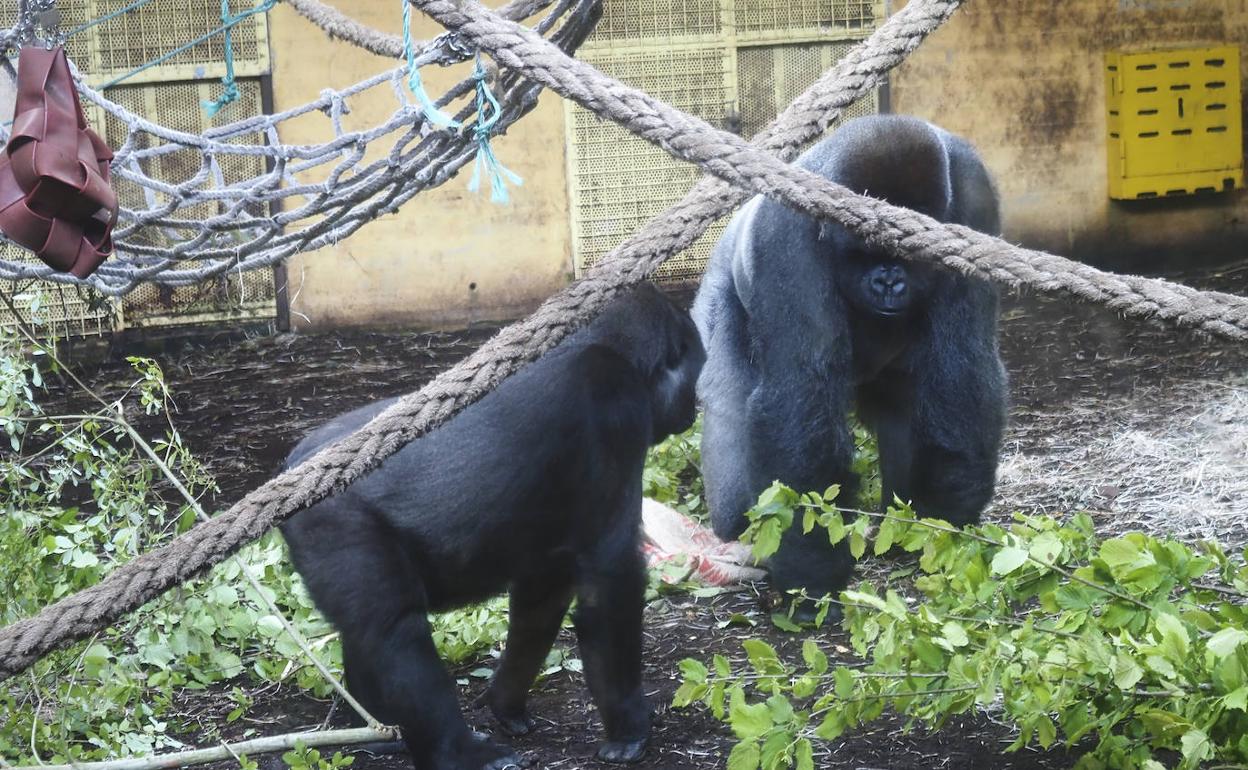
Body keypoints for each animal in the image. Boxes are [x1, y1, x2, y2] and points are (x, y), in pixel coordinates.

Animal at [284, 283, 708, 768]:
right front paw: (629, 727)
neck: (605, 345)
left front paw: (506, 702)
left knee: (369, 635)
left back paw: (379, 727)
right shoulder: (617, 414)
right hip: (332, 522)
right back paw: (460, 752)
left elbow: (540, 603)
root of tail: (294, 470)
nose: (694, 410)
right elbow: (610, 583)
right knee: (395, 635)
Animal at [698, 115, 1008, 601]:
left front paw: (947, 519)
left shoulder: (974, 199)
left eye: (908, 252)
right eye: (864, 250)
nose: (888, 283)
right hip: (717, 294)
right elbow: (800, 393)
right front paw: (811, 572)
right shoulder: (788, 232)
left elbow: (964, 360)